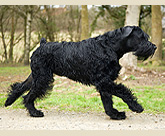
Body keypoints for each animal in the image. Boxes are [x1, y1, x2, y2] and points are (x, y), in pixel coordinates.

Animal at [4, 26, 157, 119]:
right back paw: (34, 112)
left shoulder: (105, 82)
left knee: (20, 86)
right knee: (28, 96)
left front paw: (114, 114)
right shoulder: (104, 81)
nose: (154, 47)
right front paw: (136, 107)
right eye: (142, 37)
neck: (110, 46)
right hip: (42, 78)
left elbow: (107, 101)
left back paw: (8, 101)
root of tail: (42, 44)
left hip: (36, 76)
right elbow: (123, 91)